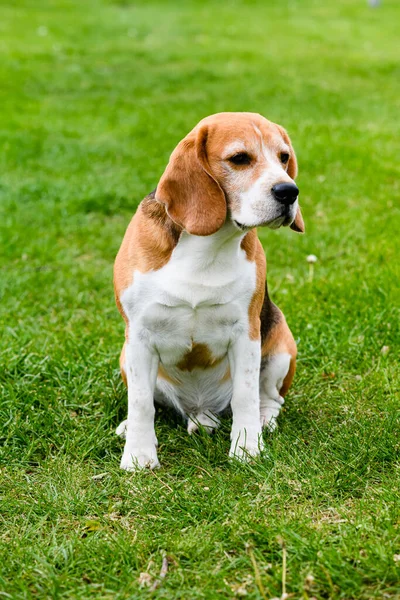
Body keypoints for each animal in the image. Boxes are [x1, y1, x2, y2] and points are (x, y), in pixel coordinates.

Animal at [112, 111, 304, 468]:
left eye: (284, 157)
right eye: (239, 158)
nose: (289, 191)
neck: (208, 244)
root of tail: (199, 408)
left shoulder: (246, 332)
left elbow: (245, 395)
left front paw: (247, 449)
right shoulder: (139, 335)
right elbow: (141, 401)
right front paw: (139, 455)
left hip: (283, 345)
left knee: (270, 398)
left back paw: (263, 419)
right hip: (124, 355)